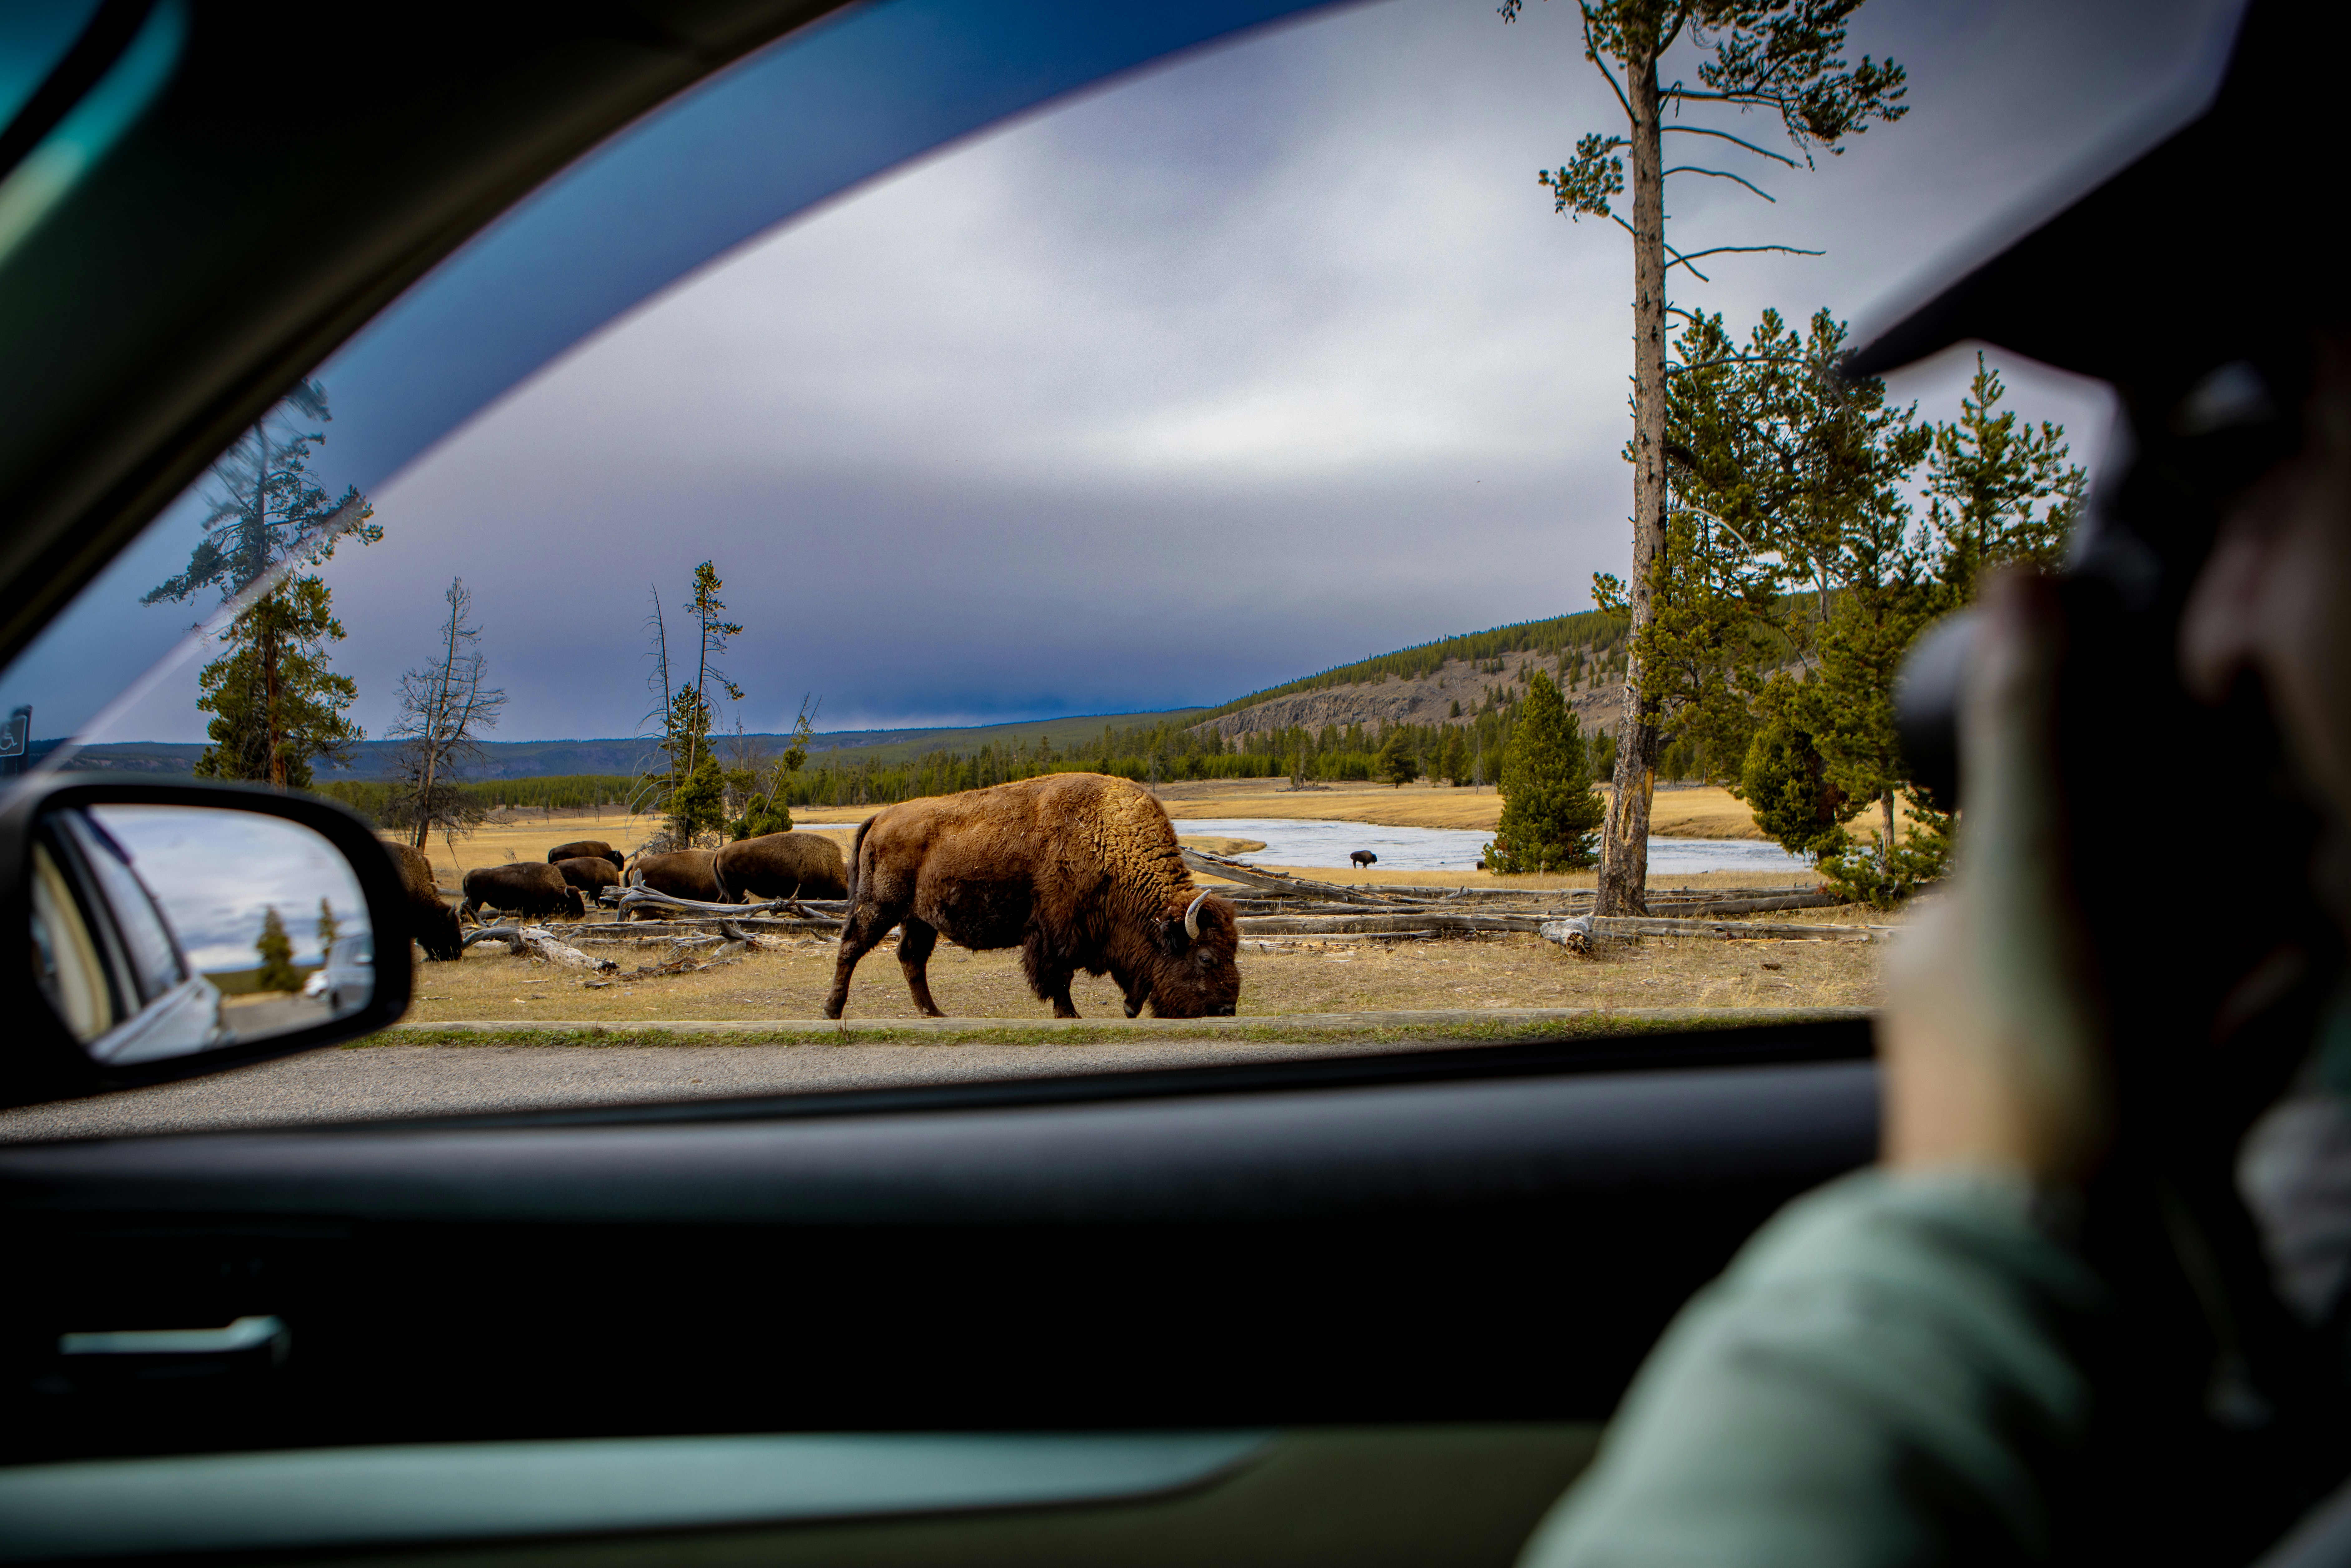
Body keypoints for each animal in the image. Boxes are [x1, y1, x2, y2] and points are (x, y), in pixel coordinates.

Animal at [824, 772, 1240, 1021]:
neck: (1108, 840)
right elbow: (1059, 974)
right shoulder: (1058, 930)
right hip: (880, 905)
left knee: (911, 958)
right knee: (851, 947)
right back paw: (832, 1010)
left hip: (920, 918)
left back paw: (934, 1013)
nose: (1227, 1008)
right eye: (1205, 957)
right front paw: (1069, 1014)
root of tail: (880, 817)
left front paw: (1125, 1007)